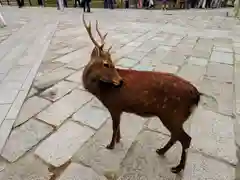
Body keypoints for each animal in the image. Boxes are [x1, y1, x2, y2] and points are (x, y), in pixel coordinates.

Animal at [81, 13, 215, 174]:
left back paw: (177, 168)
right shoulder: (120, 109)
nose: (120, 81)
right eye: (106, 63)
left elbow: (114, 127)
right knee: (177, 136)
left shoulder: (114, 106)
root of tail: (197, 95)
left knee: (186, 139)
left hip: (172, 115)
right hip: (175, 117)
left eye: (111, 63)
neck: (102, 92)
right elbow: (118, 127)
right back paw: (161, 151)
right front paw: (119, 140)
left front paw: (110, 145)